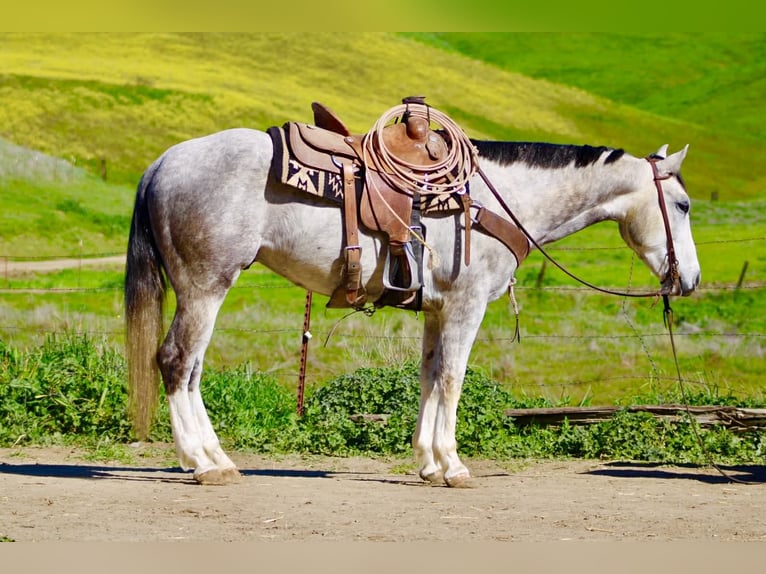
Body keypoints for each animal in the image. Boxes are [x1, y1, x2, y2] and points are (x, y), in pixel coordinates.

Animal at [125, 124, 701, 487]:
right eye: (683, 205)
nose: (690, 279)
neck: (492, 199)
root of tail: (164, 161)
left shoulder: (437, 311)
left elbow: (428, 377)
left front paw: (428, 463)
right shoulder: (466, 306)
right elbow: (452, 379)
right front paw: (454, 465)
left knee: (192, 369)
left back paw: (211, 457)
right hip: (206, 286)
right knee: (176, 361)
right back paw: (204, 463)